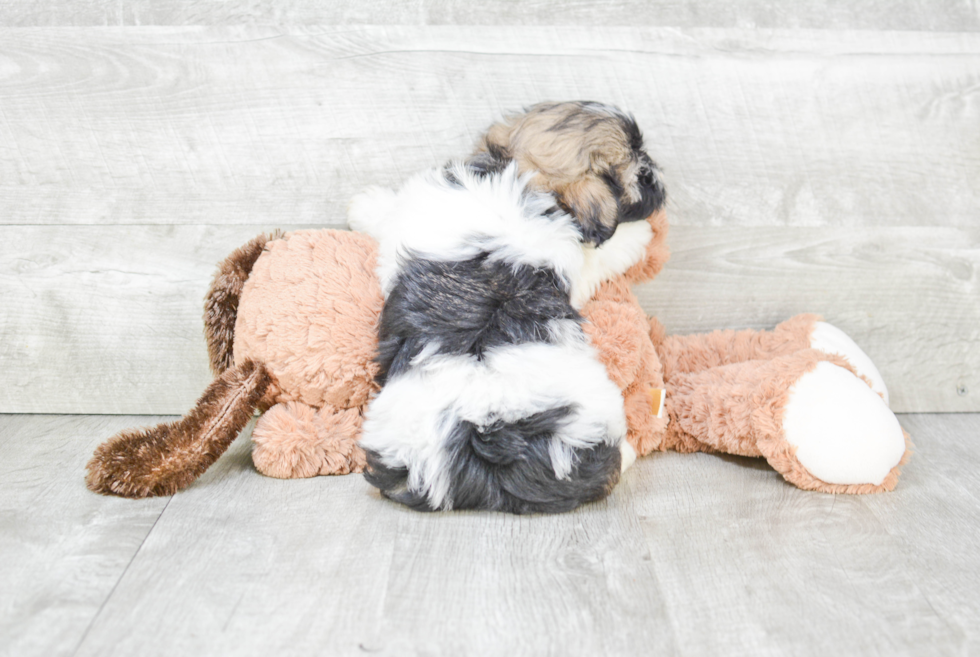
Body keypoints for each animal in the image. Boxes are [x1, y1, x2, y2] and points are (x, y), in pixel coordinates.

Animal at [348, 101, 664, 512]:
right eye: (640, 173)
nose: (658, 176)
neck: (521, 170)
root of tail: (484, 436)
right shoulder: (577, 265)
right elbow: (604, 252)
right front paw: (640, 234)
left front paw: (364, 206)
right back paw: (627, 452)